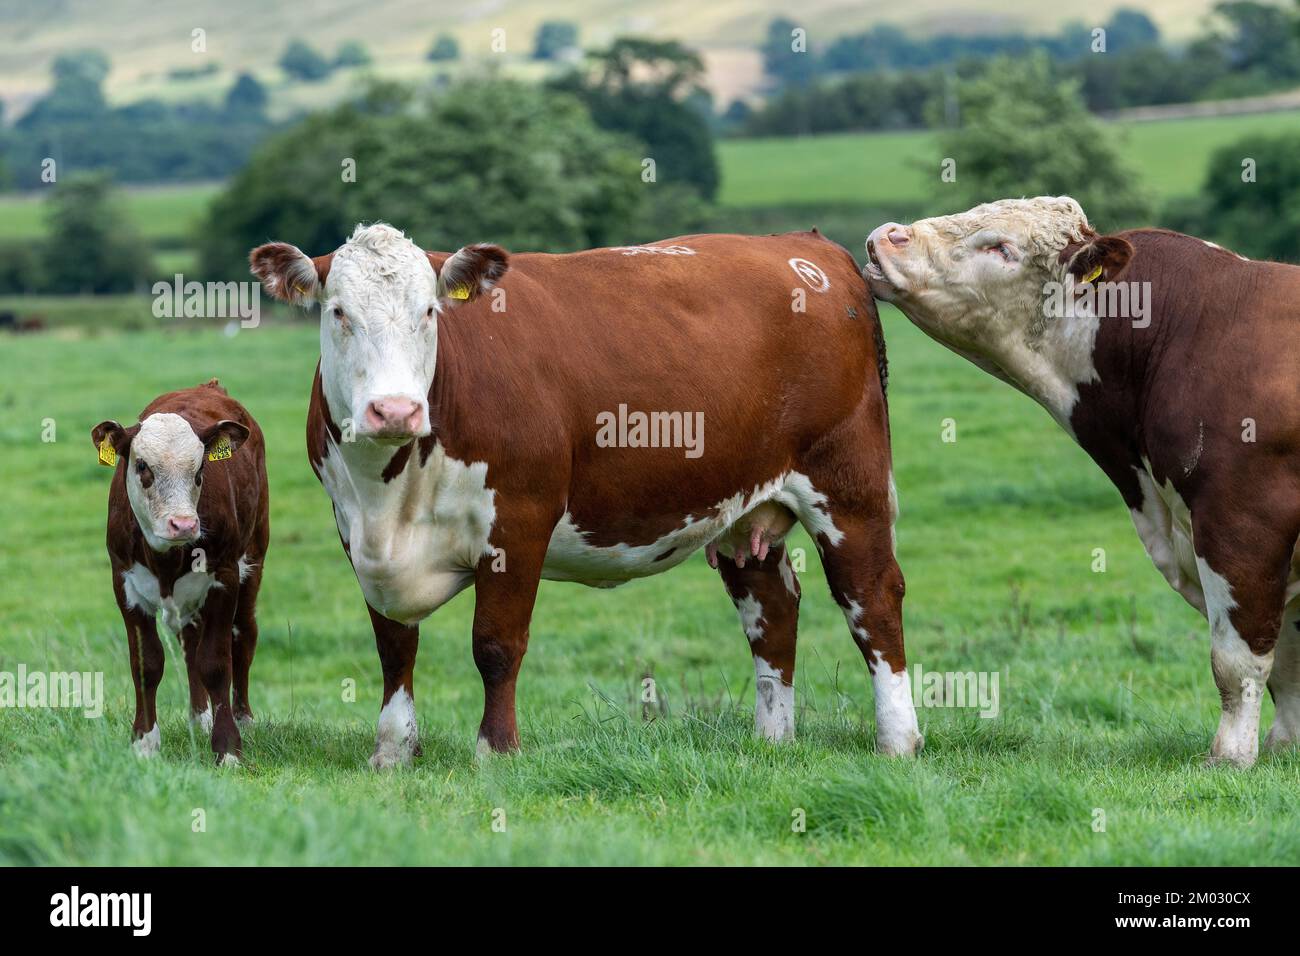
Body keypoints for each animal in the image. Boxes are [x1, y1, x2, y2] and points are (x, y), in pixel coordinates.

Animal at [92, 379, 269, 765]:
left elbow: (216, 662)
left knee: (243, 635)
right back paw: (199, 718)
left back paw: (243, 719)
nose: (184, 524)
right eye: (142, 466)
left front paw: (227, 747)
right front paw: (144, 742)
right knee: (190, 642)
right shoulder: (124, 584)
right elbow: (147, 663)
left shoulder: (224, 577)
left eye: (200, 469)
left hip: (254, 556)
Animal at [249, 223, 921, 766]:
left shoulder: (518, 524)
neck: (391, 497)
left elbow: (496, 646)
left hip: (847, 482)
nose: (394, 410)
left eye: (430, 313)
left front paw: (496, 751)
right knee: (772, 610)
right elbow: (394, 648)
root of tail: (806, 245)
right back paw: (772, 740)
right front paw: (392, 751)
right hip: (743, 507)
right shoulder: (358, 534)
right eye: (338, 312)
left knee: (871, 597)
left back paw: (898, 740)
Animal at [866, 196, 1300, 767]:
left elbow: (1239, 661)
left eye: (1000, 247)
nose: (888, 235)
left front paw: (1230, 757)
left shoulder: (1242, 520)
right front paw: (1284, 747)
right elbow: (1289, 659)